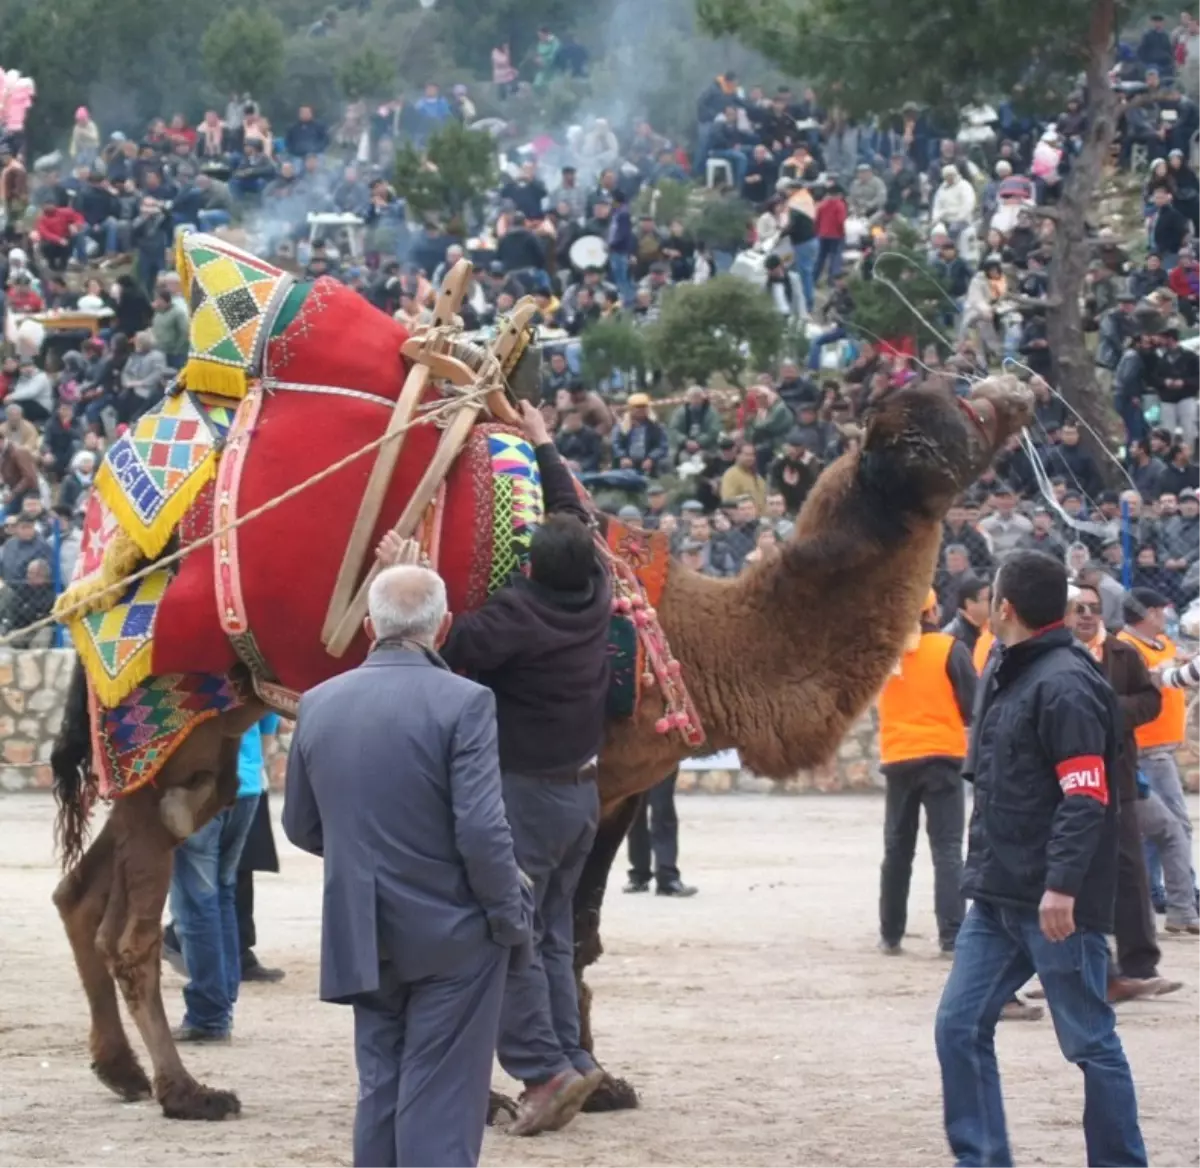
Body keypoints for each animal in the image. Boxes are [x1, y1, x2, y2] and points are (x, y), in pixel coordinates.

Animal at [49, 369, 1032, 1118]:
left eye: (960, 399)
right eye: (944, 424)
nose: (1013, 384)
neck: (692, 638)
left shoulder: (615, 786)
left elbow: (579, 936)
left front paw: (596, 1079)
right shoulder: (556, 781)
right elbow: (527, 928)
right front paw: (519, 1089)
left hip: (196, 739)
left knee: (79, 892)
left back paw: (120, 1070)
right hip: (160, 712)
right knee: (130, 927)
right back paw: (186, 1091)